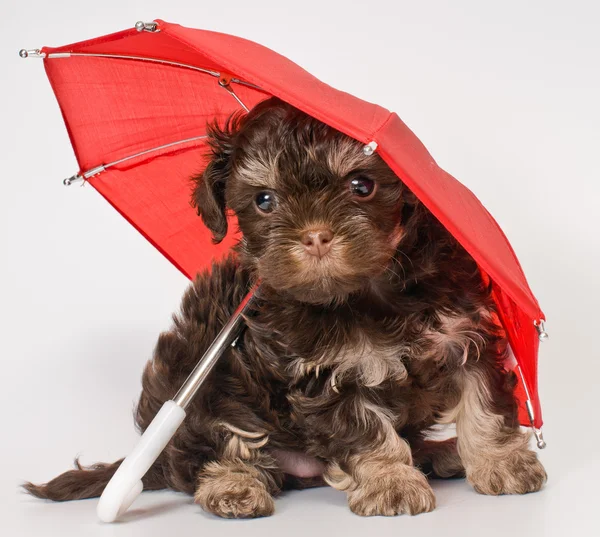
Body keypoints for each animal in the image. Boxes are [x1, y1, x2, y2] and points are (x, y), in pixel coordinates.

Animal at [25, 98, 548, 516]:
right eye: (264, 200)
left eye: (362, 186)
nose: (315, 236)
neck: (373, 288)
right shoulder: (328, 374)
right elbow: (365, 430)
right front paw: (391, 482)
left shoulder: (464, 333)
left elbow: (483, 402)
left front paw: (501, 462)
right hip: (196, 370)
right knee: (214, 445)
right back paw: (232, 485)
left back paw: (442, 454)